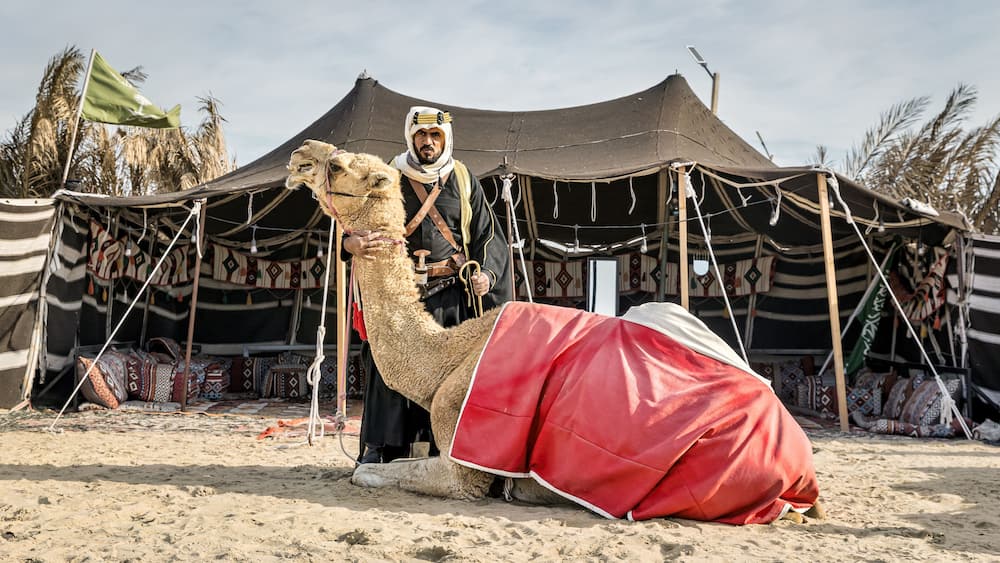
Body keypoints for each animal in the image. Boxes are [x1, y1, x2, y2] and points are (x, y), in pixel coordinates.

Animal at [285, 140, 823, 524]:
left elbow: (372, 475)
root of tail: (803, 470)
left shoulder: (465, 462)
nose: (299, 154)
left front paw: (365, 469)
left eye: (339, 166)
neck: (445, 358)